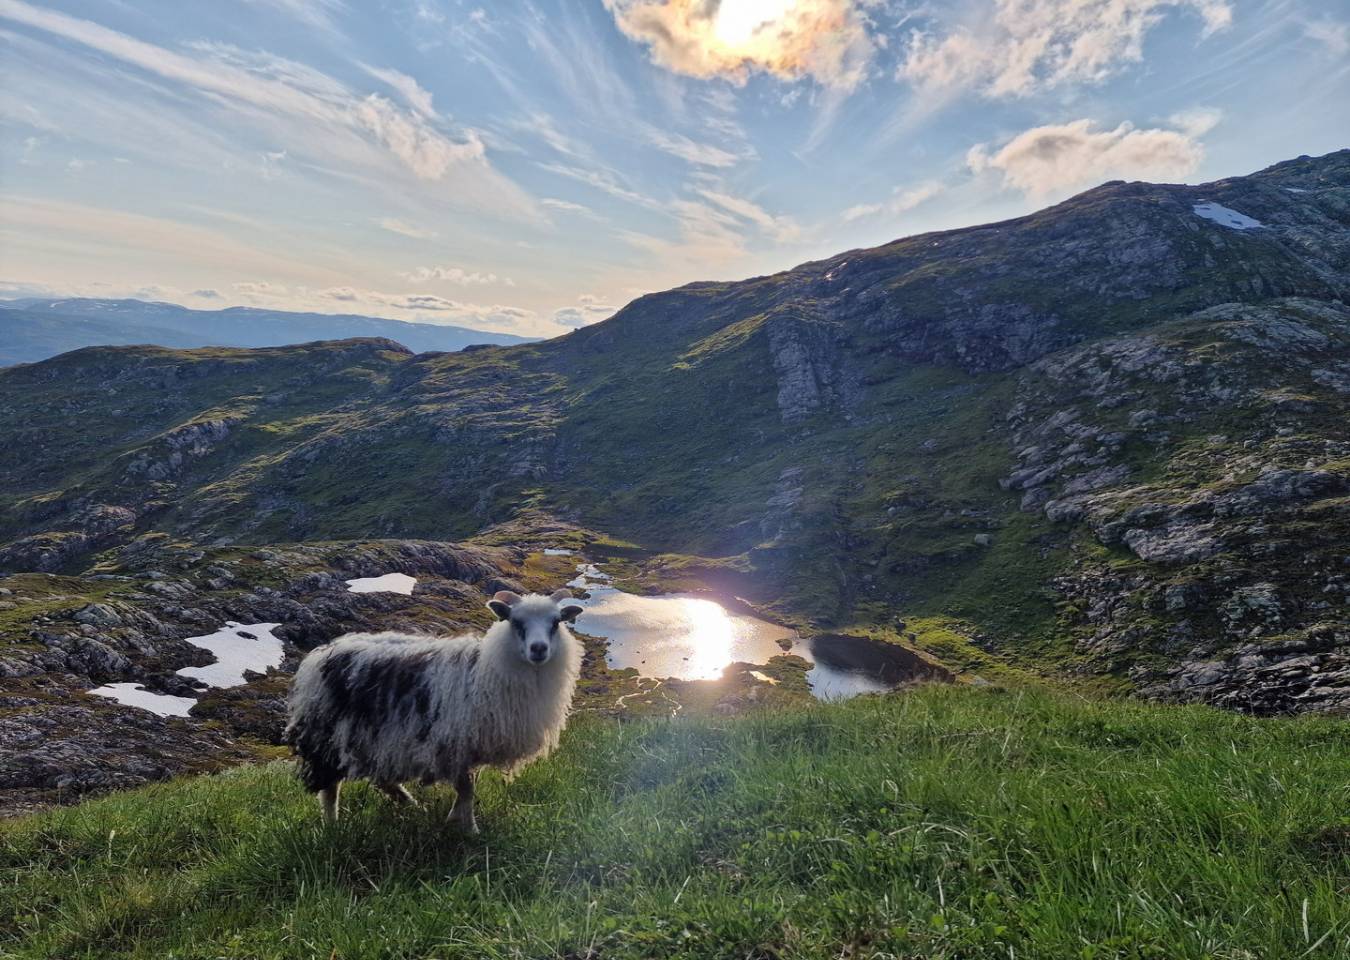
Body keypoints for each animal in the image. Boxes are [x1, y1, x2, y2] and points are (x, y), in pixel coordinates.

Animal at [282, 588, 583, 831]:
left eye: (556, 622)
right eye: (516, 622)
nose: (538, 649)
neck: (485, 671)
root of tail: (322, 653)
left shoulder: (465, 749)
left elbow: (467, 789)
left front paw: (454, 820)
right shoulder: (453, 742)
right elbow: (467, 789)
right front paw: (470, 830)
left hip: (374, 739)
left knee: (381, 779)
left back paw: (411, 805)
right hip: (329, 736)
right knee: (330, 787)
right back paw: (332, 825)